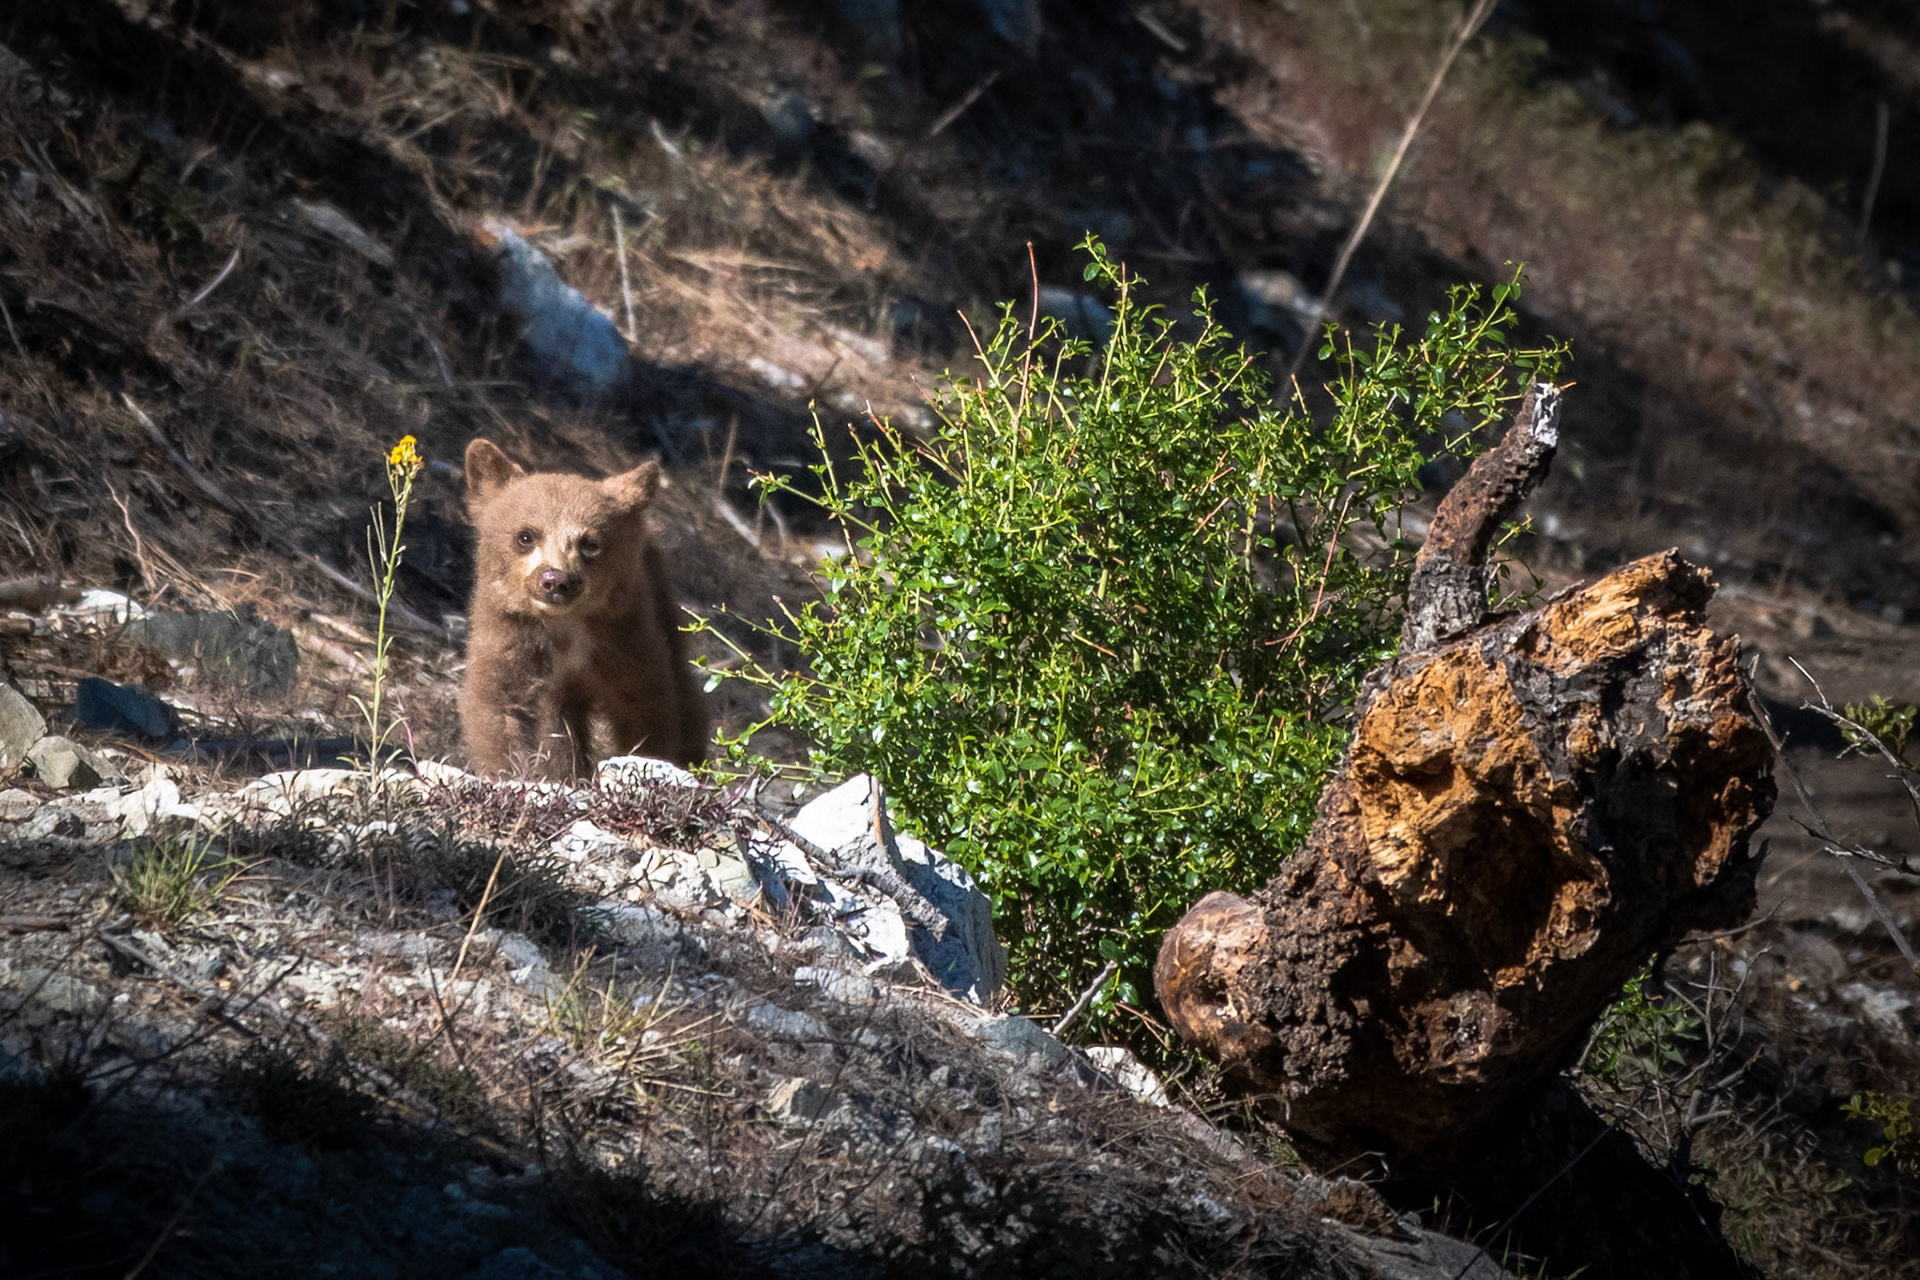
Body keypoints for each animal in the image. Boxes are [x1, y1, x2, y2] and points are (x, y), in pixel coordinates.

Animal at [459, 437, 708, 779]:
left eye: (590, 543)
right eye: (525, 535)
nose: (556, 580)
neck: (564, 627)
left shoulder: (625, 636)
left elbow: (645, 703)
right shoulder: (510, 634)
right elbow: (500, 704)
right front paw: (512, 772)